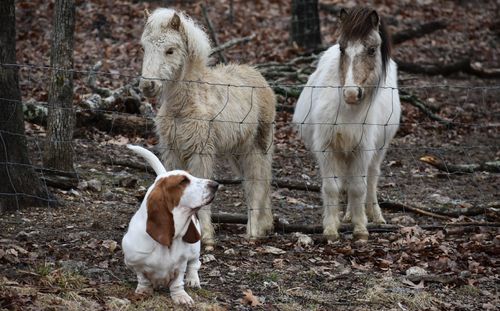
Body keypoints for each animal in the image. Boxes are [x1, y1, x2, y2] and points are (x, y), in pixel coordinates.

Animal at [122, 145, 218, 306]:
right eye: (183, 181)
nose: (216, 185)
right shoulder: (135, 263)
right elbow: (142, 278)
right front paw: (143, 291)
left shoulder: (181, 265)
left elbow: (177, 282)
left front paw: (181, 296)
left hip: (194, 248)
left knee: (195, 264)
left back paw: (193, 280)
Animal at [139, 7, 276, 249]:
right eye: (144, 47)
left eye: (170, 50)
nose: (148, 86)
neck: (183, 106)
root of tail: (258, 75)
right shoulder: (172, 150)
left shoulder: (200, 152)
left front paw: (207, 238)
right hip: (236, 152)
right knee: (261, 181)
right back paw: (265, 225)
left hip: (257, 146)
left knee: (256, 184)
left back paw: (253, 232)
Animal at [292, 7, 402, 241]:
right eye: (343, 48)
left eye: (372, 49)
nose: (351, 93)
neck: (347, 111)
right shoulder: (327, 149)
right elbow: (332, 187)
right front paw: (331, 228)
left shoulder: (362, 149)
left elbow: (358, 187)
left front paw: (360, 228)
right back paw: (349, 215)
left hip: (379, 149)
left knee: (371, 177)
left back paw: (374, 215)